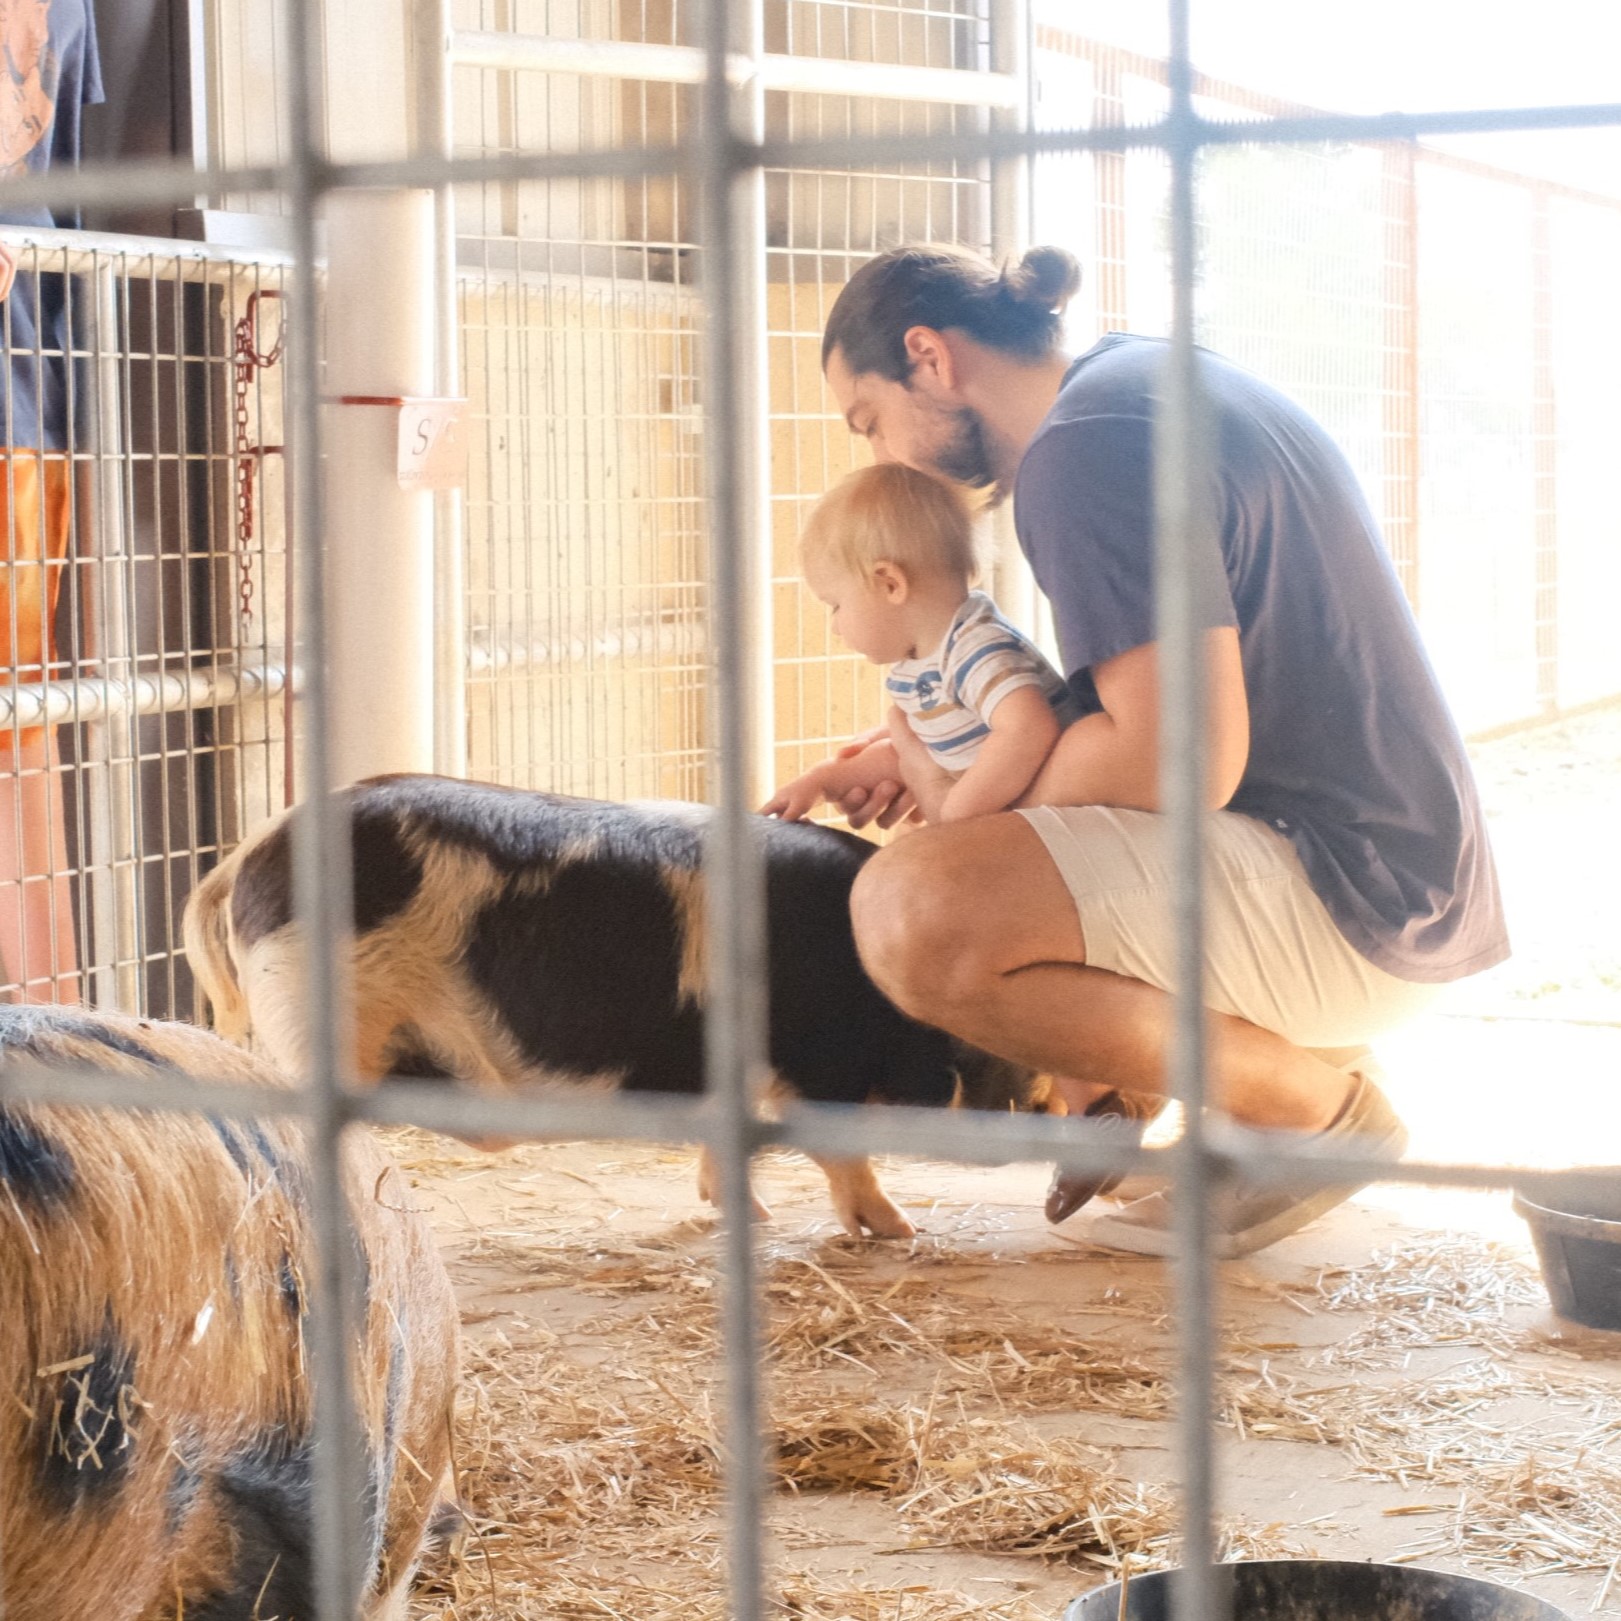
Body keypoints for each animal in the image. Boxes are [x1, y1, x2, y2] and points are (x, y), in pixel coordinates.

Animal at [180, 778, 1037, 1231]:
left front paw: (747, 1217)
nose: (1028, 1117)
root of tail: (252, 854)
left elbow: (730, 1148)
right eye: (986, 1058)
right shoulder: (815, 1066)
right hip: (318, 1018)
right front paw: (894, 1229)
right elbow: (840, 1153)